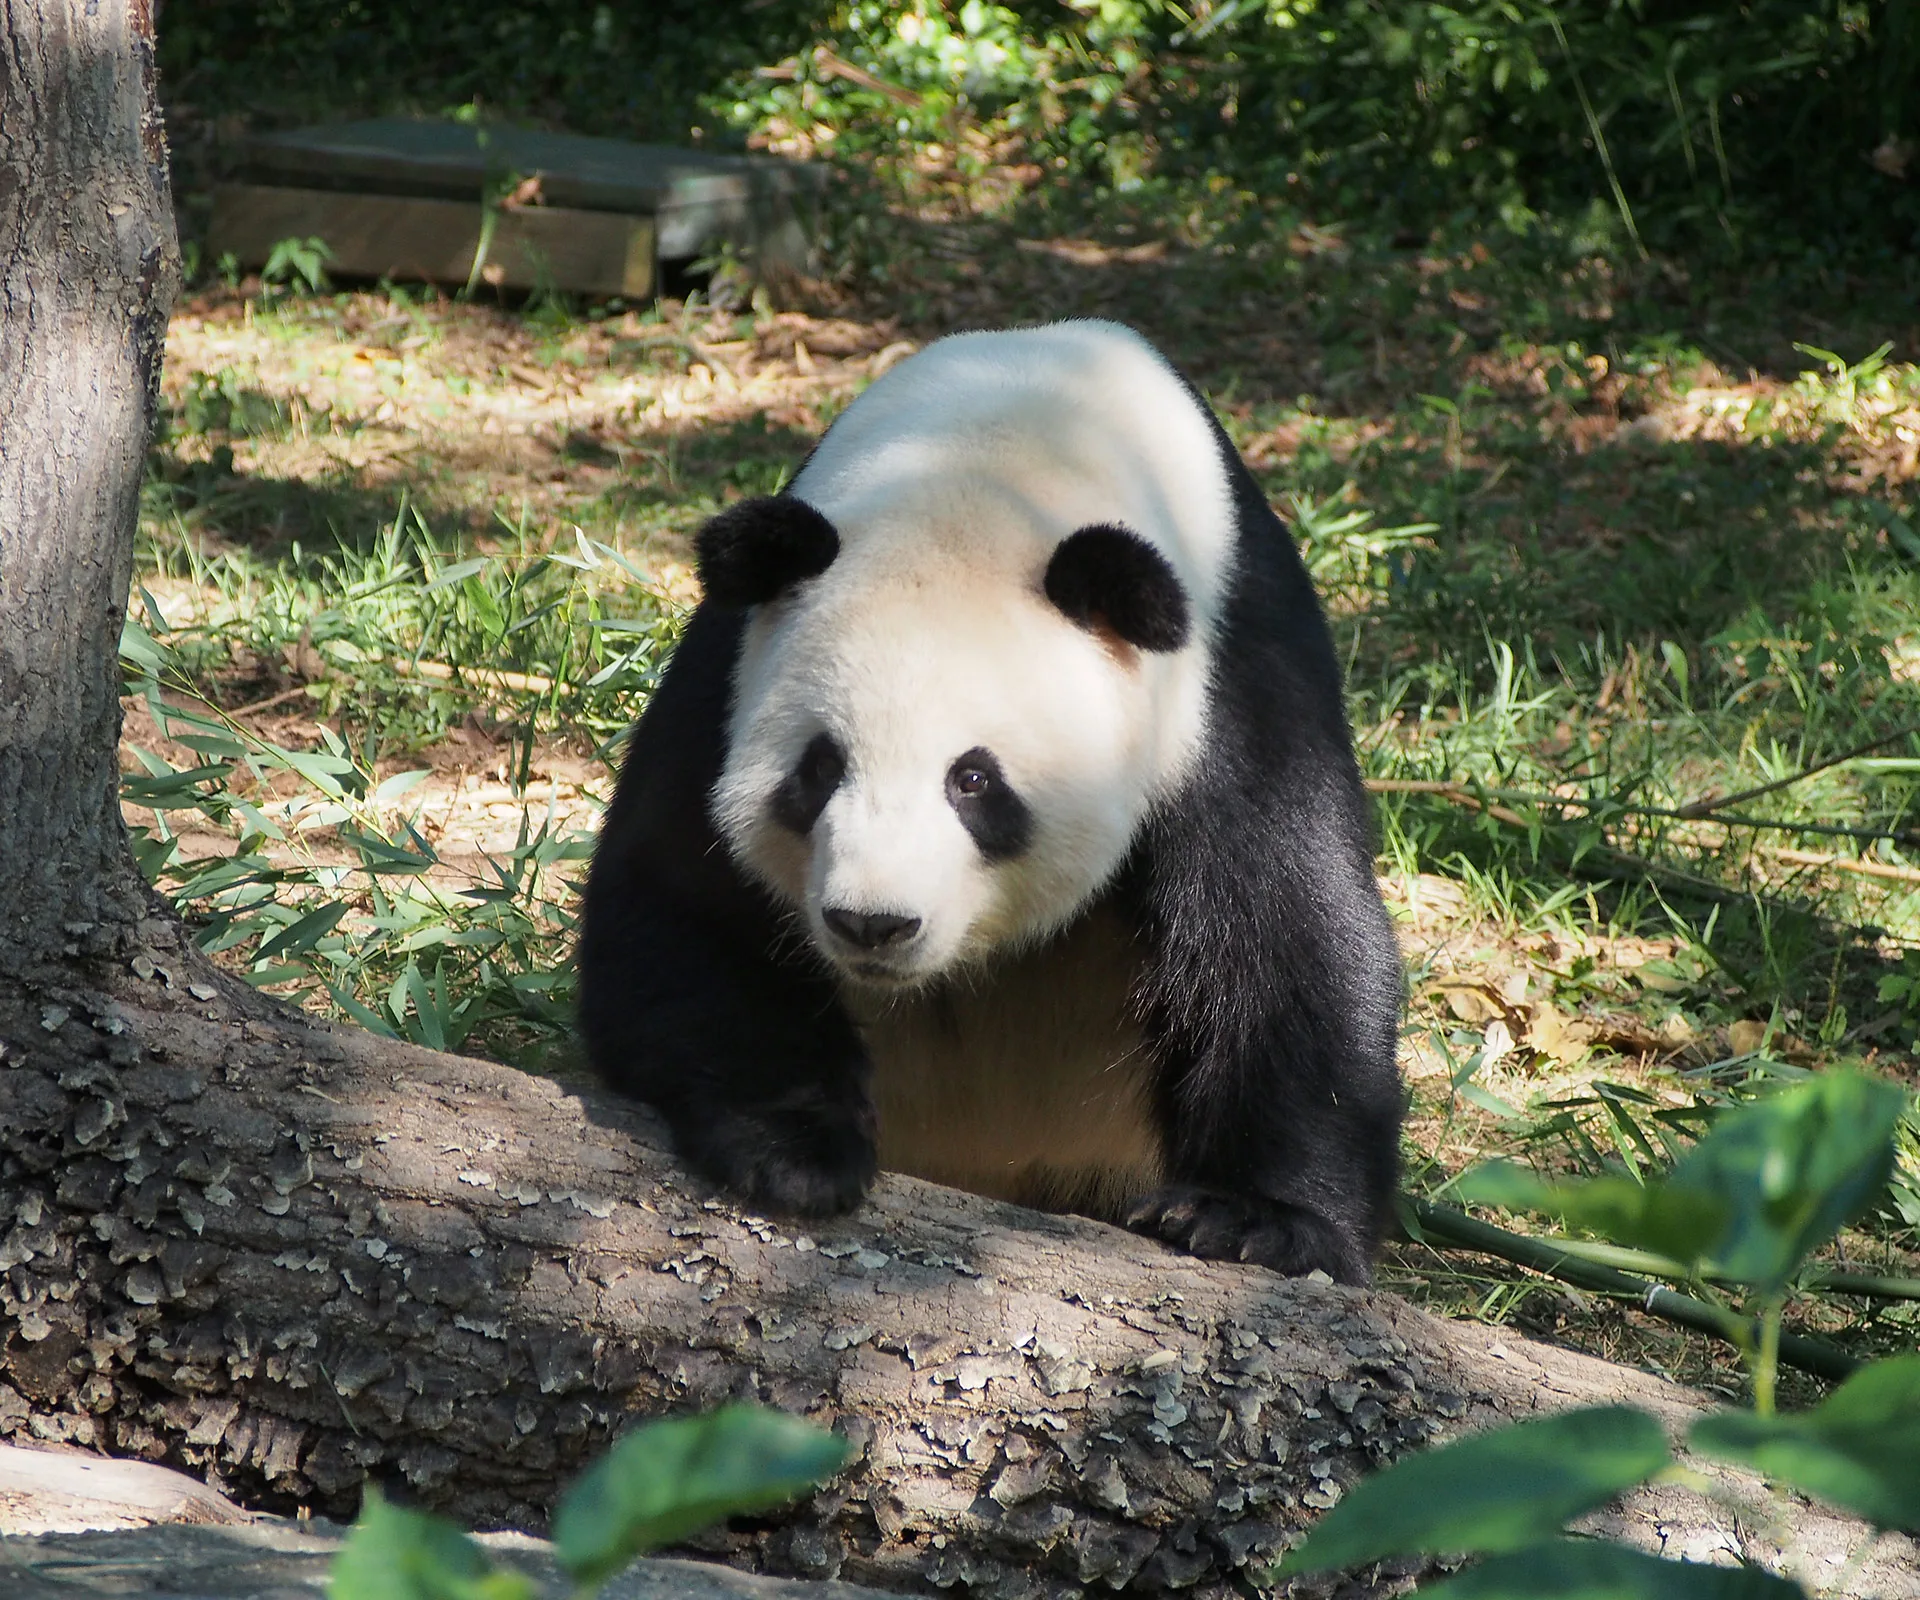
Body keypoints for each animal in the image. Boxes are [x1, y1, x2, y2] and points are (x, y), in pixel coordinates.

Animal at [576, 318, 1405, 1283]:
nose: (872, 924)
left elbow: (1287, 924)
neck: (993, 456)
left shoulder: (1232, 673)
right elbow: (682, 901)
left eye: (972, 780)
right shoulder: (730, 666)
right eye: (819, 770)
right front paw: (792, 1146)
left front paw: (1255, 1220)